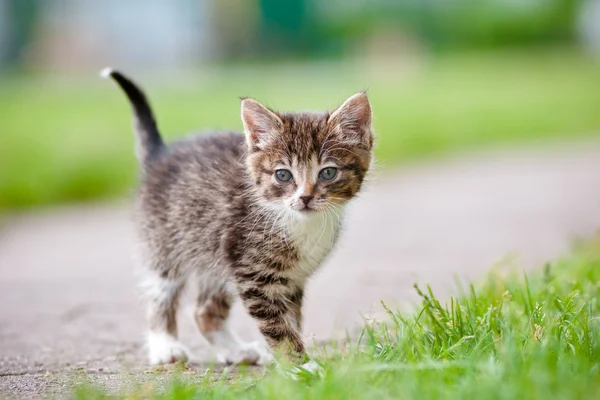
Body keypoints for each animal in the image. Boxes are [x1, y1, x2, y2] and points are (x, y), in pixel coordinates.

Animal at [103, 68, 376, 366]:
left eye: (328, 172)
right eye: (283, 175)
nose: (305, 198)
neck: (298, 222)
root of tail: (160, 156)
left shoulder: (291, 278)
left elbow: (290, 319)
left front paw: (289, 362)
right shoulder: (253, 273)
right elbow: (278, 326)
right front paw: (302, 366)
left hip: (214, 254)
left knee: (204, 310)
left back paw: (236, 351)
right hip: (166, 242)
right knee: (161, 294)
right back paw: (165, 345)